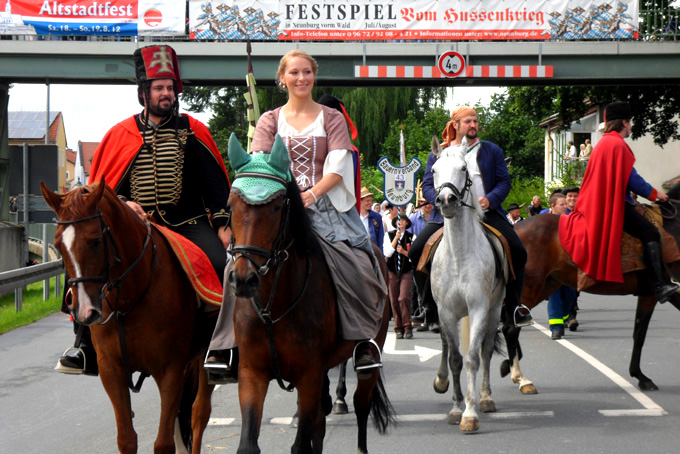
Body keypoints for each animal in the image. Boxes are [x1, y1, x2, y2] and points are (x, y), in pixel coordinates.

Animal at [40, 181, 215, 454]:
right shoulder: (112, 371)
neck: (130, 300)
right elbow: (127, 439)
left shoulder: (170, 370)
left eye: (95, 241)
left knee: (199, 414)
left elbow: (164, 443)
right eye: (58, 245)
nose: (85, 312)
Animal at [226, 153, 390, 454]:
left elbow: (301, 444)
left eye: (276, 206)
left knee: (361, 405)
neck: (274, 306)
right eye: (232, 204)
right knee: (321, 423)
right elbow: (249, 444)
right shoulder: (252, 374)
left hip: (372, 351)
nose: (243, 279)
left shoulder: (308, 377)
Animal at [430, 136, 504, 432]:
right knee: (446, 345)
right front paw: (456, 407)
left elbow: (473, 358)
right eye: (434, 170)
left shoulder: (479, 309)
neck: (459, 255)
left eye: (463, 169)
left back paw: (485, 398)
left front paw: (470, 413)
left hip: (495, 310)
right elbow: (455, 359)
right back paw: (442, 382)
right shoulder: (446, 312)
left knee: (485, 352)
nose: (446, 200)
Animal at [500, 183, 680, 392]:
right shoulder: (662, 292)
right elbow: (641, 334)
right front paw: (641, 376)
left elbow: (639, 333)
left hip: (546, 285)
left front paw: (639, 375)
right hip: (531, 287)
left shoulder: (651, 294)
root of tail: (514, 229)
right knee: (510, 327)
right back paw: (520, 378)